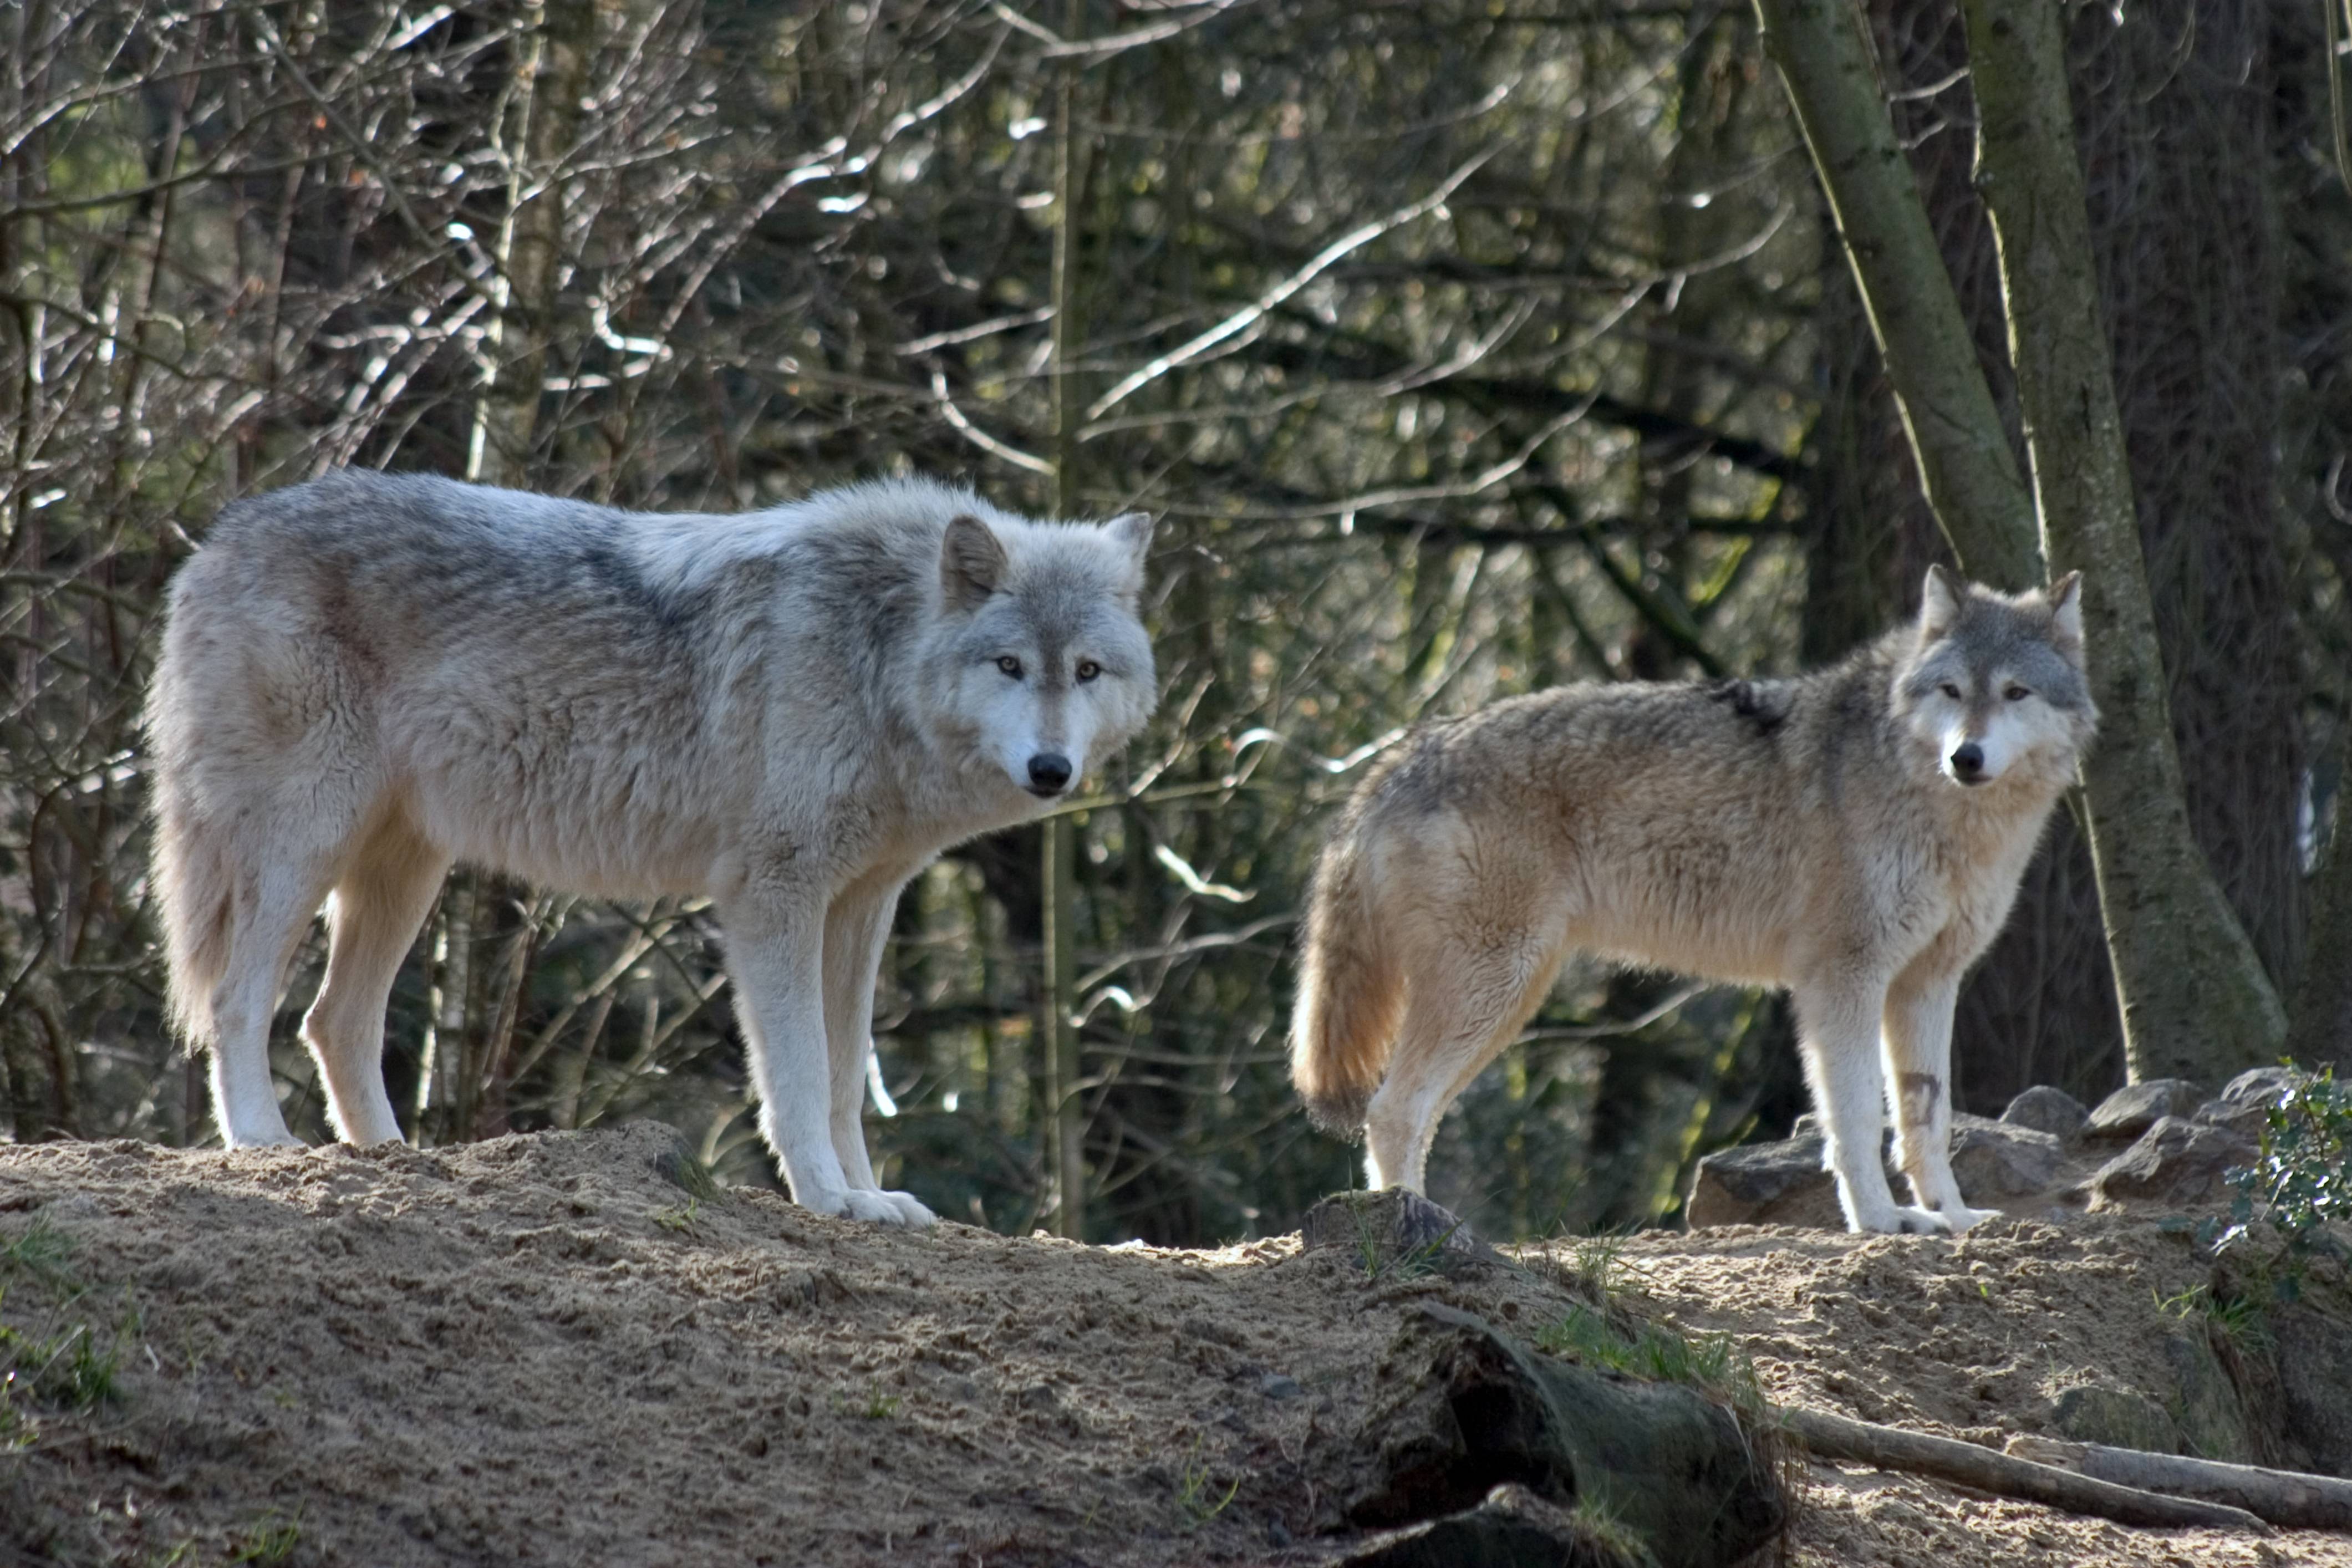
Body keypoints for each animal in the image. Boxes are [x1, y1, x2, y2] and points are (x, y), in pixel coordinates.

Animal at [149, 470, 1156, 1227]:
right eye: (1010, 665)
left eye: (1087, 671)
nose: (1052, 768)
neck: (878, 653)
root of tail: (217, 538)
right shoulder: (773, 898)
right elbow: (799, 1069)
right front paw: (827, 1196)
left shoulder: (863, 906)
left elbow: (844, 1074)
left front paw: (869, 1196)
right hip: (305, 847)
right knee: (237, 998)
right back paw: (263, 1142)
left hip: (406, 873)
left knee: (333, 1020)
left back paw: (394, 1157)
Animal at [1291, 567, 2095, 1235]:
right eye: (1952, 691)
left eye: (2015, 693)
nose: (1966, 757)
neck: (1942, 810)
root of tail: (1398, 759)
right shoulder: (1842, 978)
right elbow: (1858, 1117)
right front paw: (1878, 1221)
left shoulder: (1927, 982)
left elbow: (1927, 1116)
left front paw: (1949, 1216)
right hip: (1491, 990)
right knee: (1391, 1110)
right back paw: (1415, 1222)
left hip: (1505, 1004)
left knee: (1410, 1111)